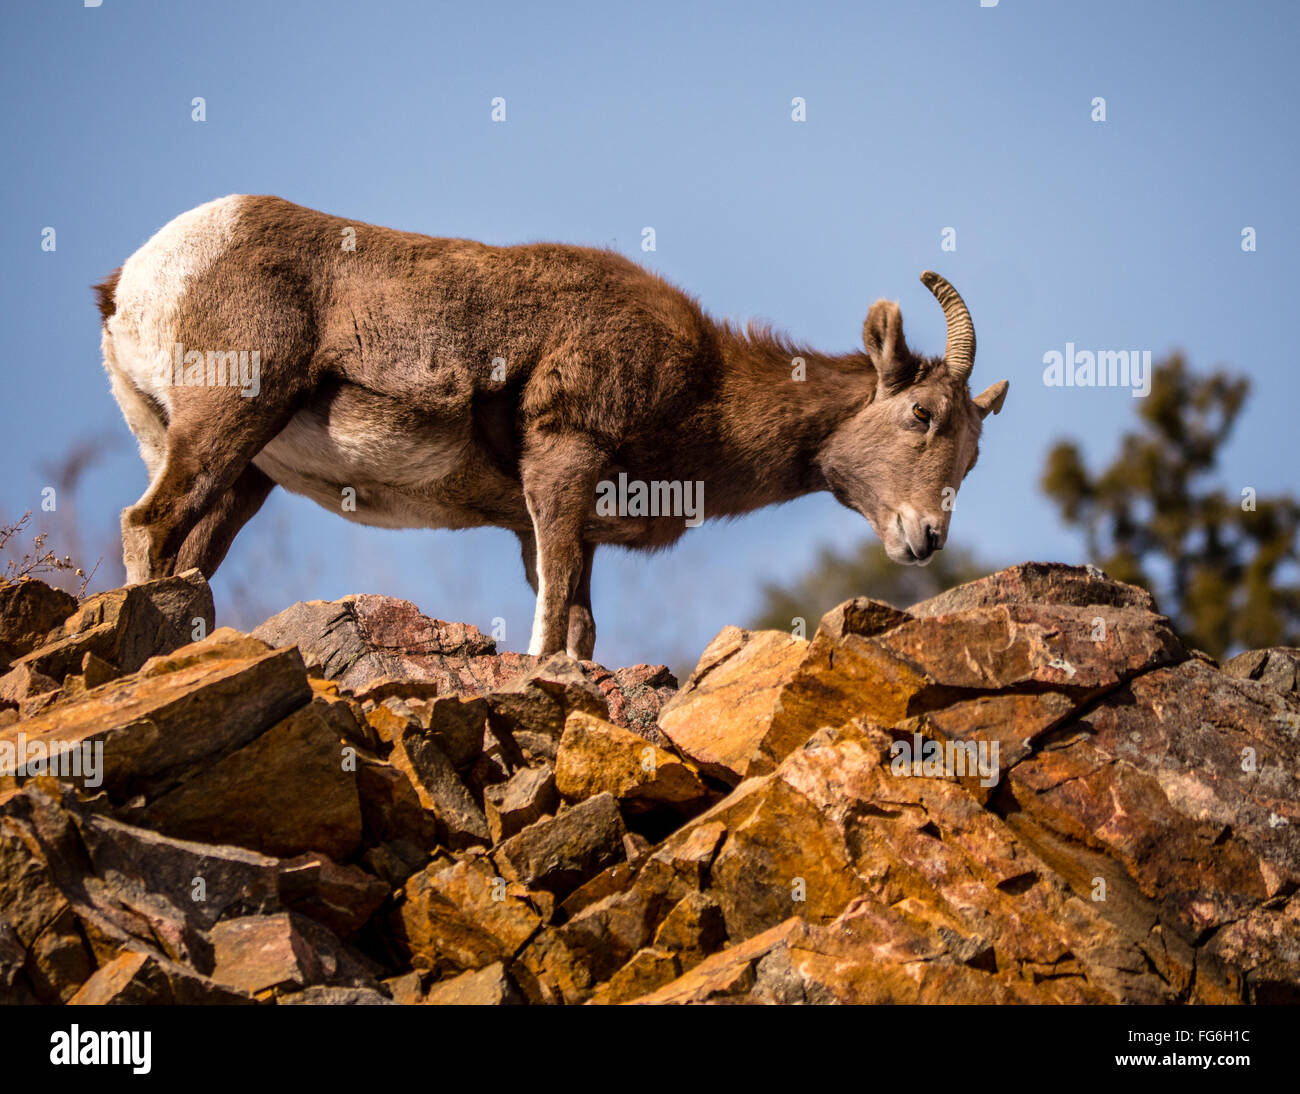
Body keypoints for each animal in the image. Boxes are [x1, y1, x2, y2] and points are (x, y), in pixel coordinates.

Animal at [96, 194, 1008, 657]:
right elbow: (556, 617)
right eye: (921, 415)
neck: (702, 389)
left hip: (241, 475)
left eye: (971, 457)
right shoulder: (563, 467)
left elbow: (579, 625)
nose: (926, 539)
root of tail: (137, 277)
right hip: (228, 422)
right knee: (146, 524)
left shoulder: (553, 524)